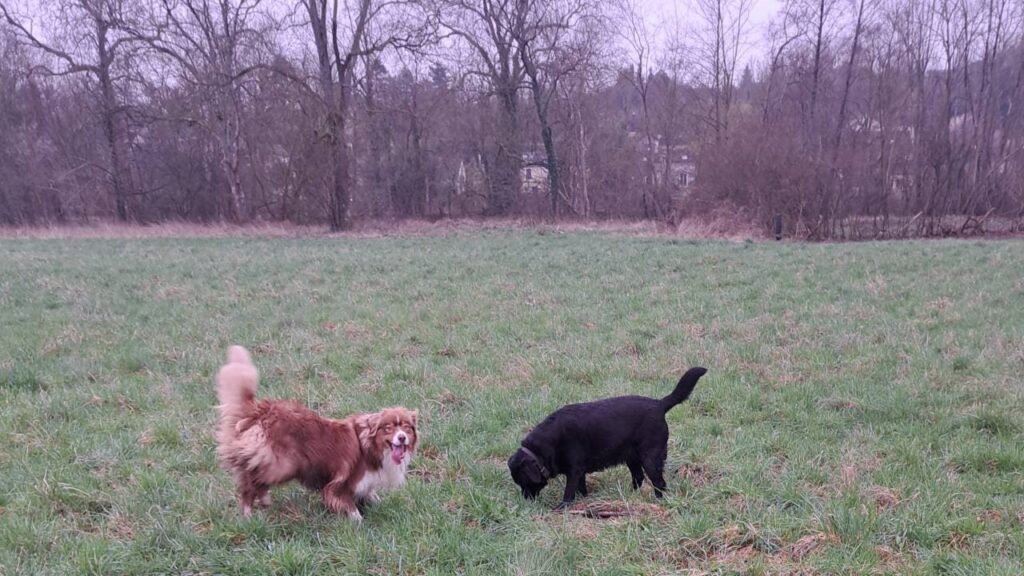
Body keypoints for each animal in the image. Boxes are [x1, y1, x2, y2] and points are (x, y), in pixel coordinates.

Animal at [214, 344, 417, 520]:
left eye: (406, 427)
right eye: (388, 427)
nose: (402, 438)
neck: (369, 447)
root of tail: (261, 409)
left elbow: (370, 494)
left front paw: (377, 504)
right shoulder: (340, 483)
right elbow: (349, 506)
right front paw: (357, 522)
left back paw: (264, 500)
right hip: (284, 464)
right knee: (250, 479)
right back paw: (248, 515)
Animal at [509, 366, 708, 506]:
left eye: (523, 481)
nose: (525, 500)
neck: (543, 447)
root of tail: (659, 404)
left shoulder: (574, 470)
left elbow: (569, 493)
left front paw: (562, 508)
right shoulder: (579, 472)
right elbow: (581, 488)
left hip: (650, 458)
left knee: (659, 482)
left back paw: (658, 501)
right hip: (632, 458)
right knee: (639, 478)